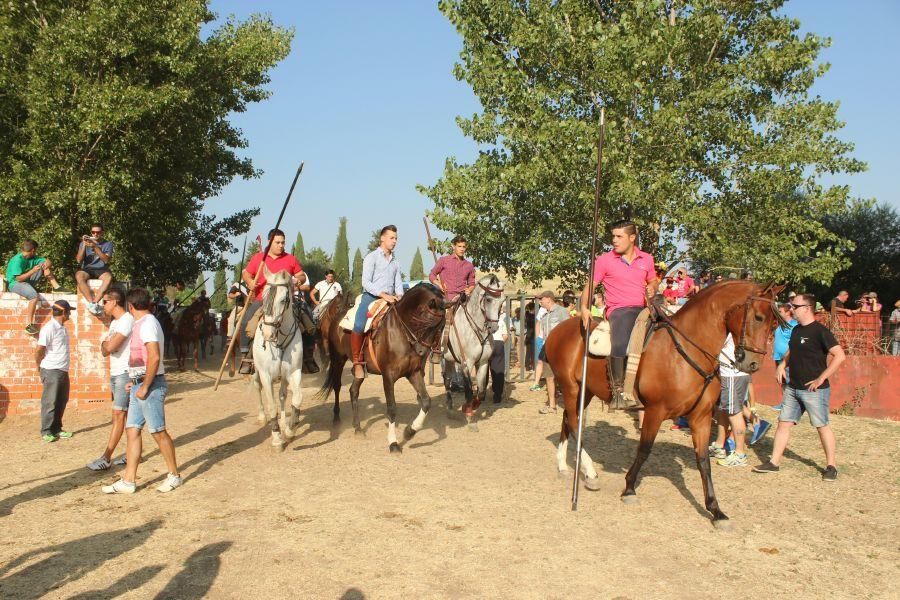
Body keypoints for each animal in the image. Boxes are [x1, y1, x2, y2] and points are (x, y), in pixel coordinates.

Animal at [251, 268, 304, 450]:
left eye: (283, 300)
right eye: (263, 297)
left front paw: (289, 429)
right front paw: (277, 439)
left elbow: (296, 398)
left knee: (282, 395)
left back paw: (283, 423)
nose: (268, 334)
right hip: (256, 371)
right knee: (257, 387)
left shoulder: (294, 372)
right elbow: (272, 406)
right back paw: (261, 416)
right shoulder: (266, 375)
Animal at [318, 284, 448, 452]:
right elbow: (391, 408)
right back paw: (336, 419)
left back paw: (358, 428)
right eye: (425, 320)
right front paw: (393, 443)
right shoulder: (388, 376)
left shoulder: (414, 373)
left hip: (360, 370)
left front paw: (409, 431)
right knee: (337, 386)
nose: (421, 351)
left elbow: (426, 401)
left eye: (442, 327)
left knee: (353, 391)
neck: (402, 333)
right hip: (337, 360)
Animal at [442, 274, 506, 428]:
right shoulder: (467, 364)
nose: (494, 328)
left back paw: (450, 410)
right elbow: (469, 391)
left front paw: (471, 407)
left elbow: (481, 392)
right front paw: (469, 417)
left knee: (447, 380)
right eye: (488, 299)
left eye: (502, 300)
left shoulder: (483, 363)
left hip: (449, 359)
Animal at [544, 280, 784, 524]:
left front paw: (715, 509)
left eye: (774, 324)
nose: (753, 364)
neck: (686, 352)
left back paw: (564, 466)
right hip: (571, 388)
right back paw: (590, 472)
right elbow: (644, 449)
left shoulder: (701, 417)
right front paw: (629, 488)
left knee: (568, 420)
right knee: (574, 424)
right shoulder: (655, 411)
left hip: (585, 391)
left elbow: (703, 461)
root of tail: (558, 329)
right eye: (758, 317)